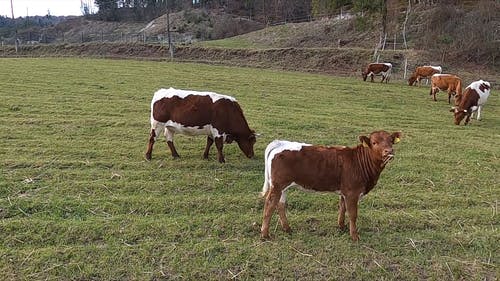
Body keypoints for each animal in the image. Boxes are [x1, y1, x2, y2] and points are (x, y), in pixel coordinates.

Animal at [260, 130, 400, 240]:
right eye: (374, 142)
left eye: (391, 141)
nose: (389, 151)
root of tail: (280, 143)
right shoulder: (352, 192)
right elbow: (353, 214)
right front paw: (354, 236)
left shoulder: (345, 191)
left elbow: (342, 208)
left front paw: (342, 227)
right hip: (278, 185)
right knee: (270, 204)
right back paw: (265, 234)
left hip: (284, 187)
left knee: (280, 204)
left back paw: (287, 228)